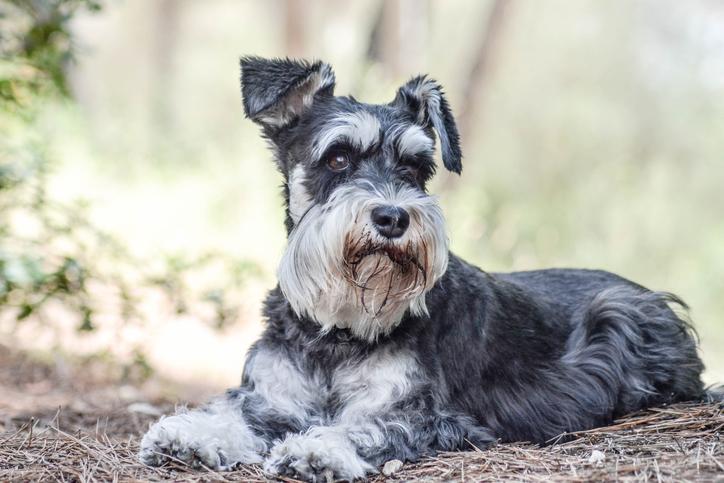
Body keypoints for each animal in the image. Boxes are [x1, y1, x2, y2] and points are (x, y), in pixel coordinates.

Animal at [139, 55, 708, 480]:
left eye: (417, 168)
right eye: (338, 158)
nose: (393, 217)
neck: (339, 327)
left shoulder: (430, 416)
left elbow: (368, 428)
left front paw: (319, 449)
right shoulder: (273, 398)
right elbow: (232, 410)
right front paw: (188, 433)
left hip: (621, 315)